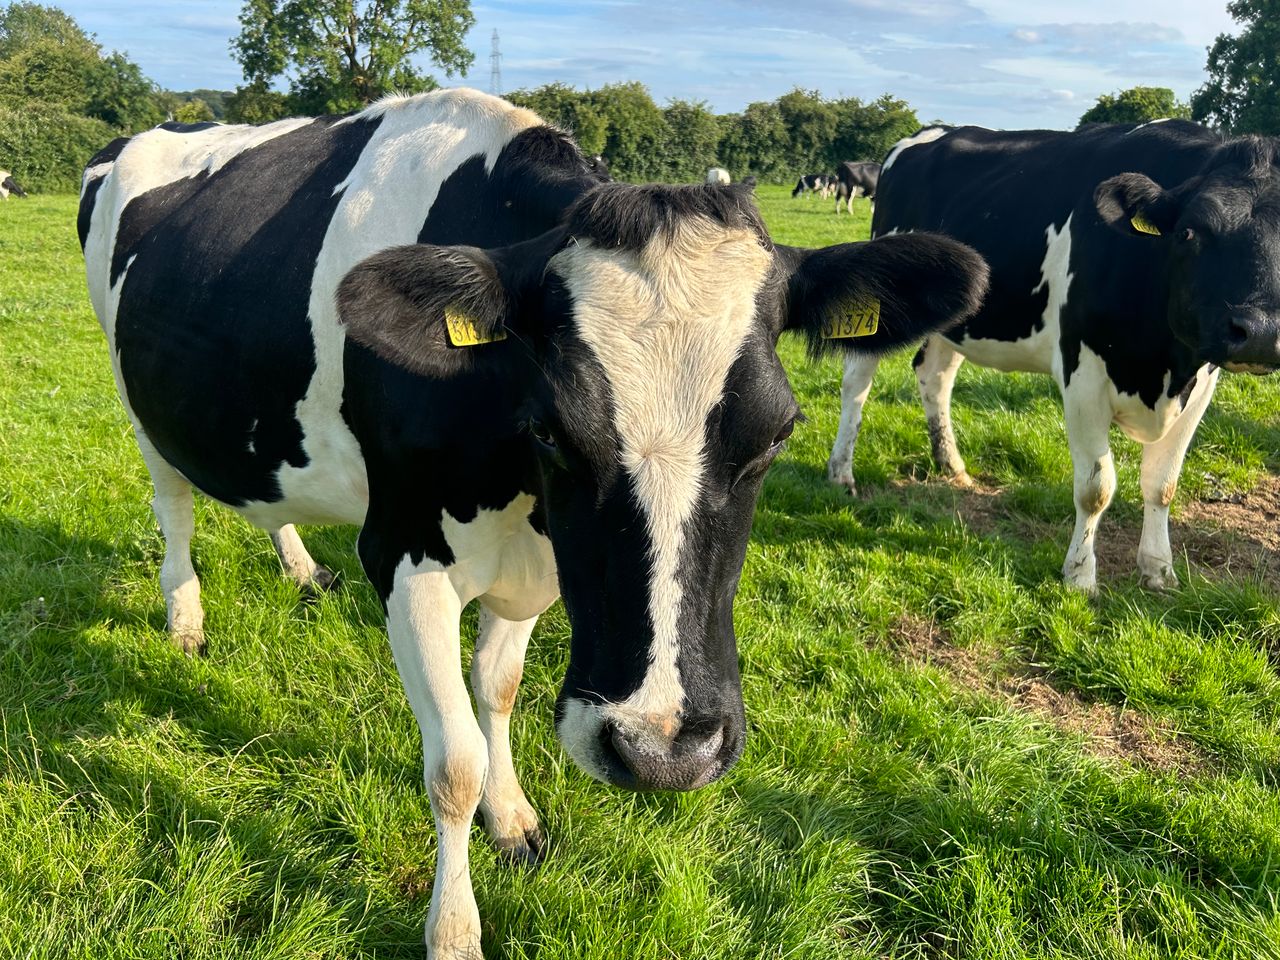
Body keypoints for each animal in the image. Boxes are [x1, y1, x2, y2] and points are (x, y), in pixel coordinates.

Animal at [79, 88, 988, 959]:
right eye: (551, 428)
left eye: (776, 434)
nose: (663, 751)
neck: (514, 488)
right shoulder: (402, 553)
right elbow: (453, 763)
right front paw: (454, 931)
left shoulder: (542, 562)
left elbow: (499, 688)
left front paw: (512, 816)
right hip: (139, 402)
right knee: (173, 507)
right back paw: (185, 618)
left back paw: (300, 566)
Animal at [827, 119, 1280, 594]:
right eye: (1189, 232)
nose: (1260, 333)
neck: (1159, 369)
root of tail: (930, 131)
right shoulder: (1083, 375)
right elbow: (1096, 488)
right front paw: (1080, 576)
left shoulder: (1201, 381)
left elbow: (1163, 484)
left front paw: (1159, 570)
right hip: (880, 296)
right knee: (857, 382)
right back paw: (841, 473)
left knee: (935, 376)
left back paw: (951, 464)